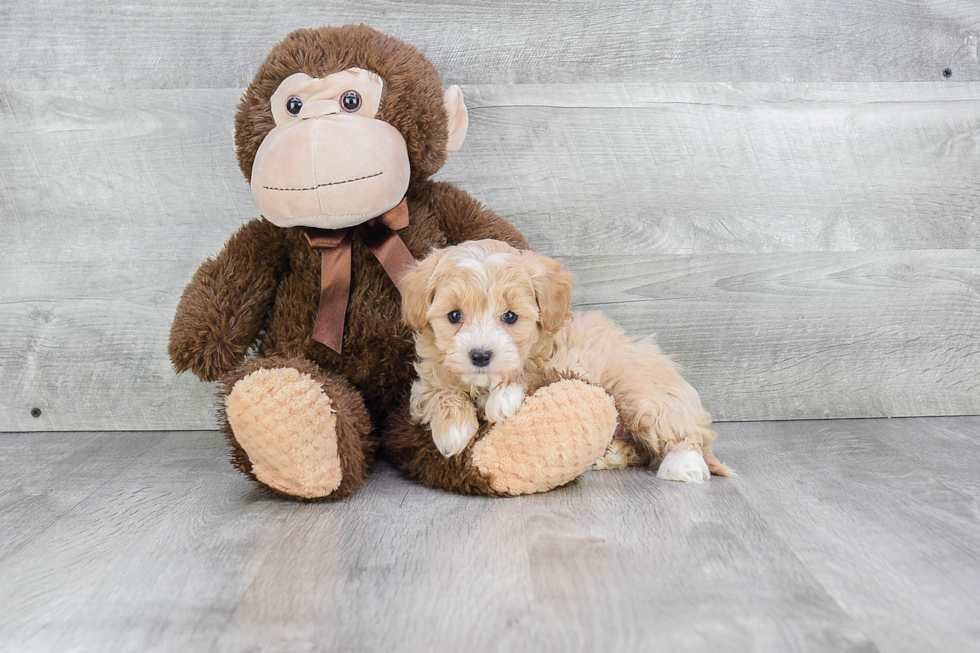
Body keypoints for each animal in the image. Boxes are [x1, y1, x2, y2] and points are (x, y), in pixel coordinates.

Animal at [398, 238, 728, 478]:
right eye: (454, 315)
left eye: (510, 316)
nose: (480, 355)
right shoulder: (428, 380)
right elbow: (438, 392)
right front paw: (452, 430)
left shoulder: (569, 361)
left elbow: (534, 374)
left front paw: (503, 398)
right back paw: (610, 454)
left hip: (640, 393)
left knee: (678, 429)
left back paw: (684, 465)